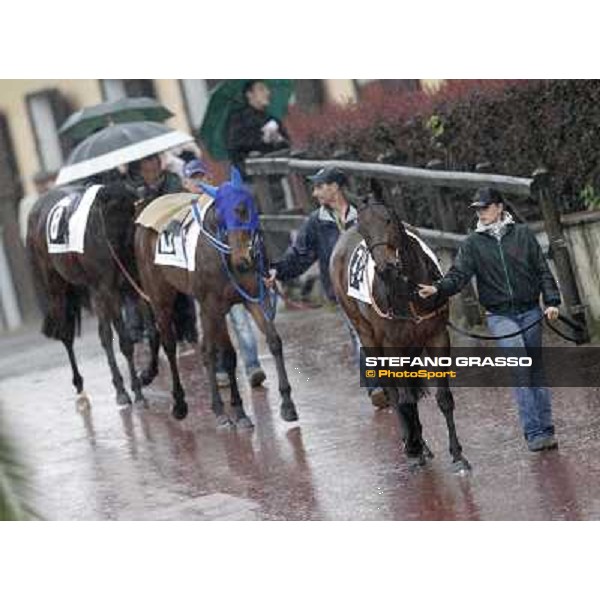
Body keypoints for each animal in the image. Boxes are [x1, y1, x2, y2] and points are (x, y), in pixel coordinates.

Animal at [27, 178, 146, 408]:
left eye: (132, 218)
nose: (123, 256)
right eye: (110, 224)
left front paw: (137, 390)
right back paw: (79, 383)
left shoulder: (123, 288)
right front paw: (122, 391)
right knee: (66, 334)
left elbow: (127, 339)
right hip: (57, 287)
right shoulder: (103, 290)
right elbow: (108, 336)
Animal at [134, 166, 298, 424]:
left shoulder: (253, 296)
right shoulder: (215, 304)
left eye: (243, 209)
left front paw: (287, 403)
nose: (243, 260)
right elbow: (228, 355)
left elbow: (274, 341)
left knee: (205, 349)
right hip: (160, 296)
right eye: (220, 216)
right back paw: (179, 403)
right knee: (169, 344)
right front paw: (238, 410)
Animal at [330, 186, 472, 474]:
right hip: (367, 335)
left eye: (388, 220)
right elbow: (404, 398)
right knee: (394, 392)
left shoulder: (436, 336)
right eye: (363, 229)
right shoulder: (391, 344)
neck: (407, 291)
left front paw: (457, 455)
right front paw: (413, 447)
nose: (386, 267)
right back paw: (413, 443)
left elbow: (443, 397)